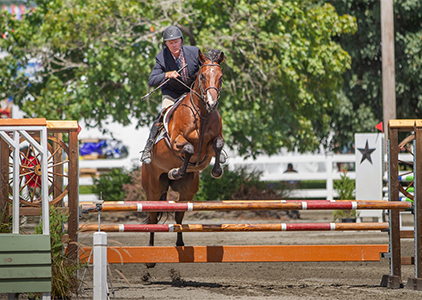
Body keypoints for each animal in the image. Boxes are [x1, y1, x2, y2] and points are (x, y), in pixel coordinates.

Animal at [142, 48, 226, 268]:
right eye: (202, 76)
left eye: (221, 77)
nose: (212, 104)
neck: (202, 114)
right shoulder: (176, 142)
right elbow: (187, 149)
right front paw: (176, 170)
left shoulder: (212, 145)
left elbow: (218, 145)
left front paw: (217, 170)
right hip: (153, 188)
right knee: (152, 218)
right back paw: (149, 256)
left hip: (188, 191)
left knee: (179, 215)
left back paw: (180, 245)